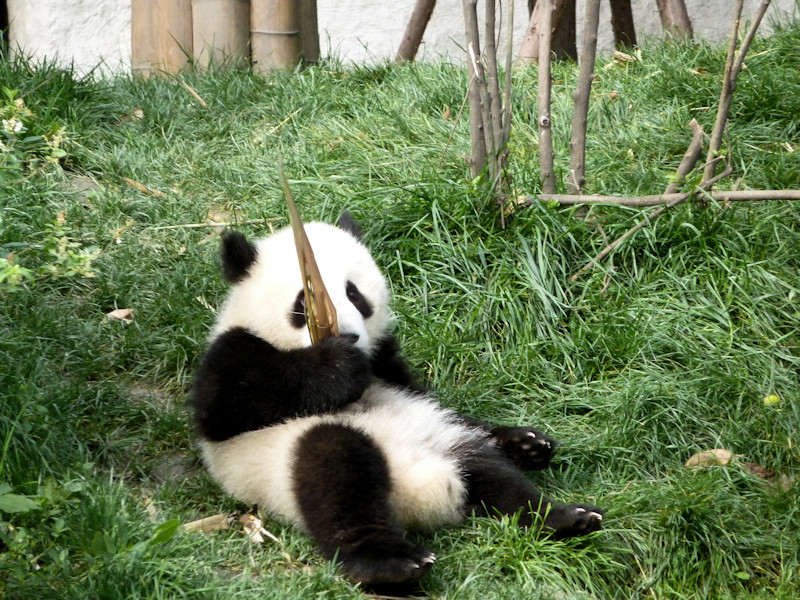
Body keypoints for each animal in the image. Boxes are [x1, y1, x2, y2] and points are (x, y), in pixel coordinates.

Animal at [191, 212, 603, 589]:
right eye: (304, 300)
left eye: (354, 293)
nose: (349, 336)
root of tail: (429, 488)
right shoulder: (233, 352)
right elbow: (226, 406)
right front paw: (337, 365)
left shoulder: (389, 362)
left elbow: (428, 396)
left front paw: (526, 441)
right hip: (287, 461)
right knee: (336, 477)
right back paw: (392, 564)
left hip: (444, 439)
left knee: (495, 475)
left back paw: (565, 515)